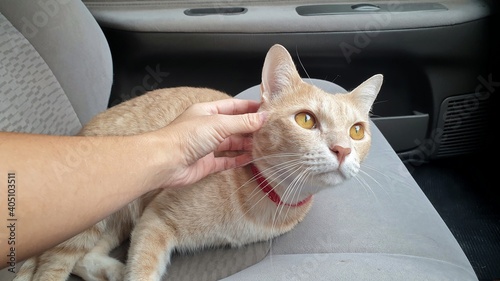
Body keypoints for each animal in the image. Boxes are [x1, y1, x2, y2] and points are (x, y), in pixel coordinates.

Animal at [15, 44, 382, 280]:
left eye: (357, 130)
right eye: (305, 120)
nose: (342, 150)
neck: (270, 201)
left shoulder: (144, 222)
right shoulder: (155, 220)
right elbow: (142, 270)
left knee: (87, 256)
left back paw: (114, 270)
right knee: (52, 267)